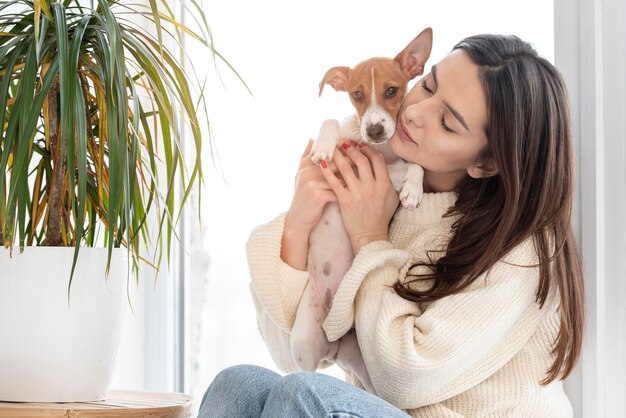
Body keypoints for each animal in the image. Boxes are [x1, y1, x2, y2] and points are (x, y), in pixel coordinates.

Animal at [288, 27, 432, 392]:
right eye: (356, 95)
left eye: (392, 91)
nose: (375, 129)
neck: (378, 151)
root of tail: (335, 341)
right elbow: (329, 121)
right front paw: (324, 146)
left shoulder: (389, 172)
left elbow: (415, 165)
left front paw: (413, 190)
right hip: (304, 340)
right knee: (302, 371)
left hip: (370, 369)